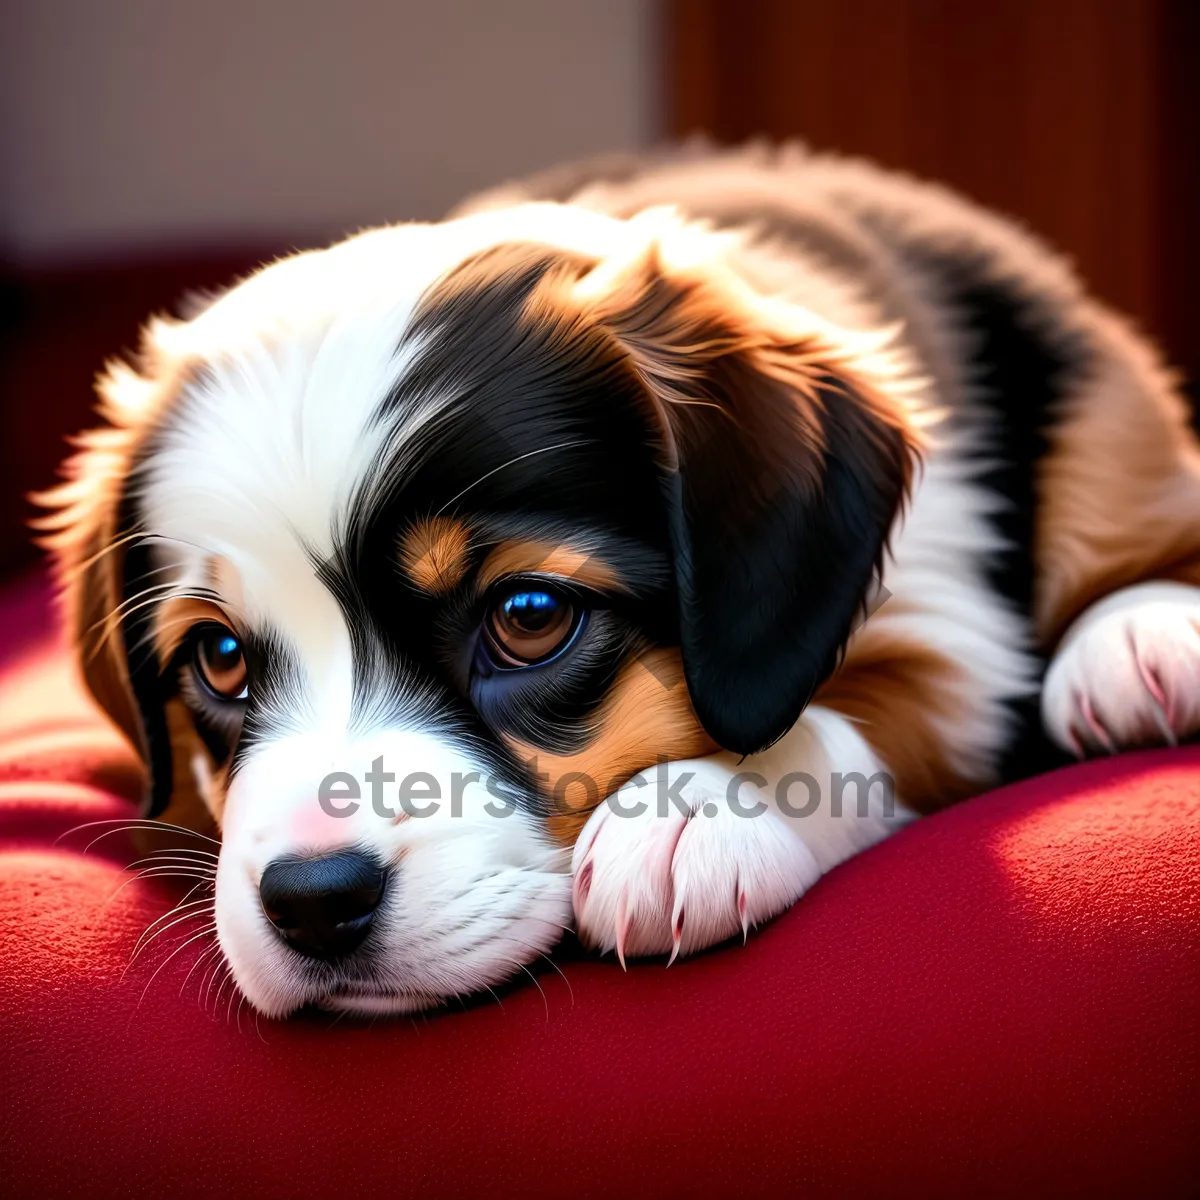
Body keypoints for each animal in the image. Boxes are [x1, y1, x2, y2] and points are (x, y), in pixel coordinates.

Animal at [39, 145, 1200, 1017]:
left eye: (530, 617)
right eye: (221, 658)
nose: (314, 902)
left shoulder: (955, 634)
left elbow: (861, 715)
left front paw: (698, 809)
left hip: (1094, 393)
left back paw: (1143, 636)